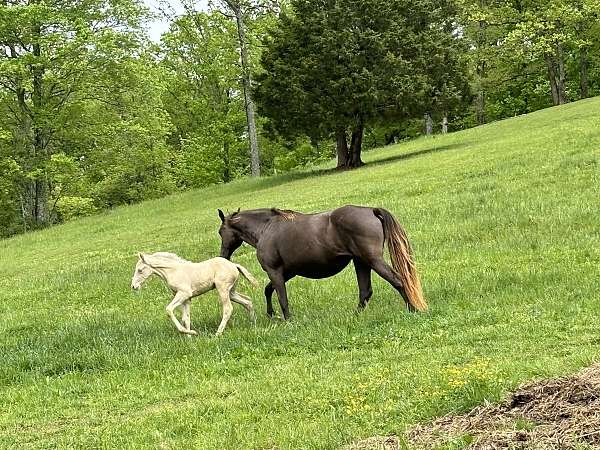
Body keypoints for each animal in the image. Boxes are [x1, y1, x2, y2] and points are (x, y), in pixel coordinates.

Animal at [217, 206, 426, 318]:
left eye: (220, 232)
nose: (223, 255)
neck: (266, 228)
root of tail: (371, 211)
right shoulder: (287, 272)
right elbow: (269, 290)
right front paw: (270, 313)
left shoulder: (275, 271)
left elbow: (281, 297)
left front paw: (287, 319)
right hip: (361, 262)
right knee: (365, 291)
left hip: (372, 260)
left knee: (398, 281)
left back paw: (413, 309)